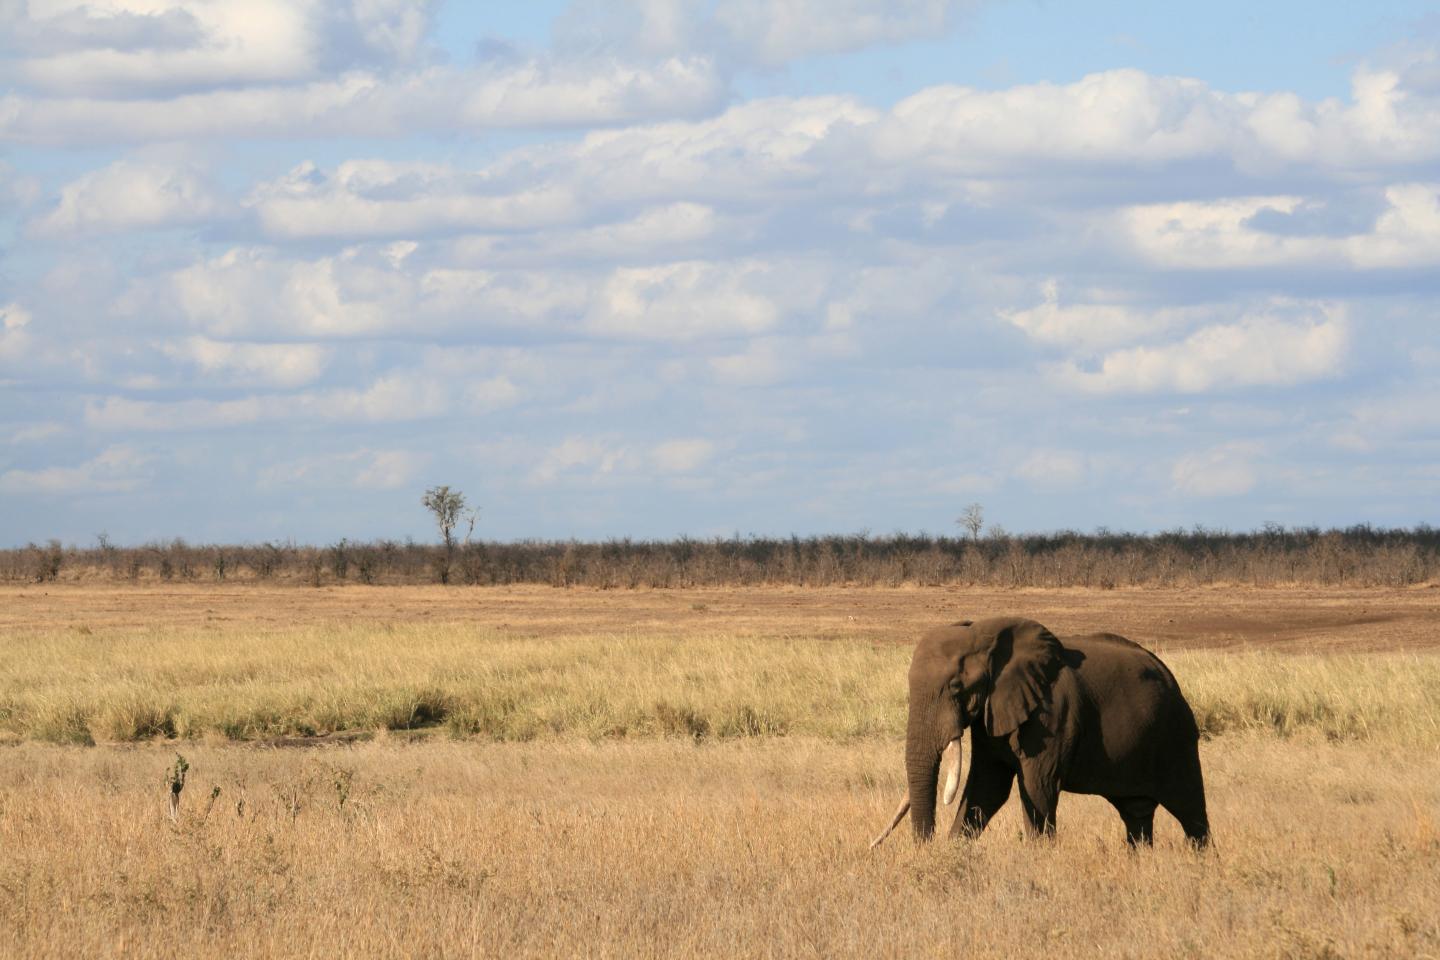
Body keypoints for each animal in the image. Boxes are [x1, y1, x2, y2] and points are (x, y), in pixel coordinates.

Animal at [869, 616, 1209, 846]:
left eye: (955, 687)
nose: (925, 847)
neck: (984, 634)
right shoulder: (992, 713)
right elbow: (987, 787)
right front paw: (954, 851)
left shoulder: (1052, 711)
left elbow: (1038, 786)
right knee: (1136, 815)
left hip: (1175, 736)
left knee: (1191, 811)